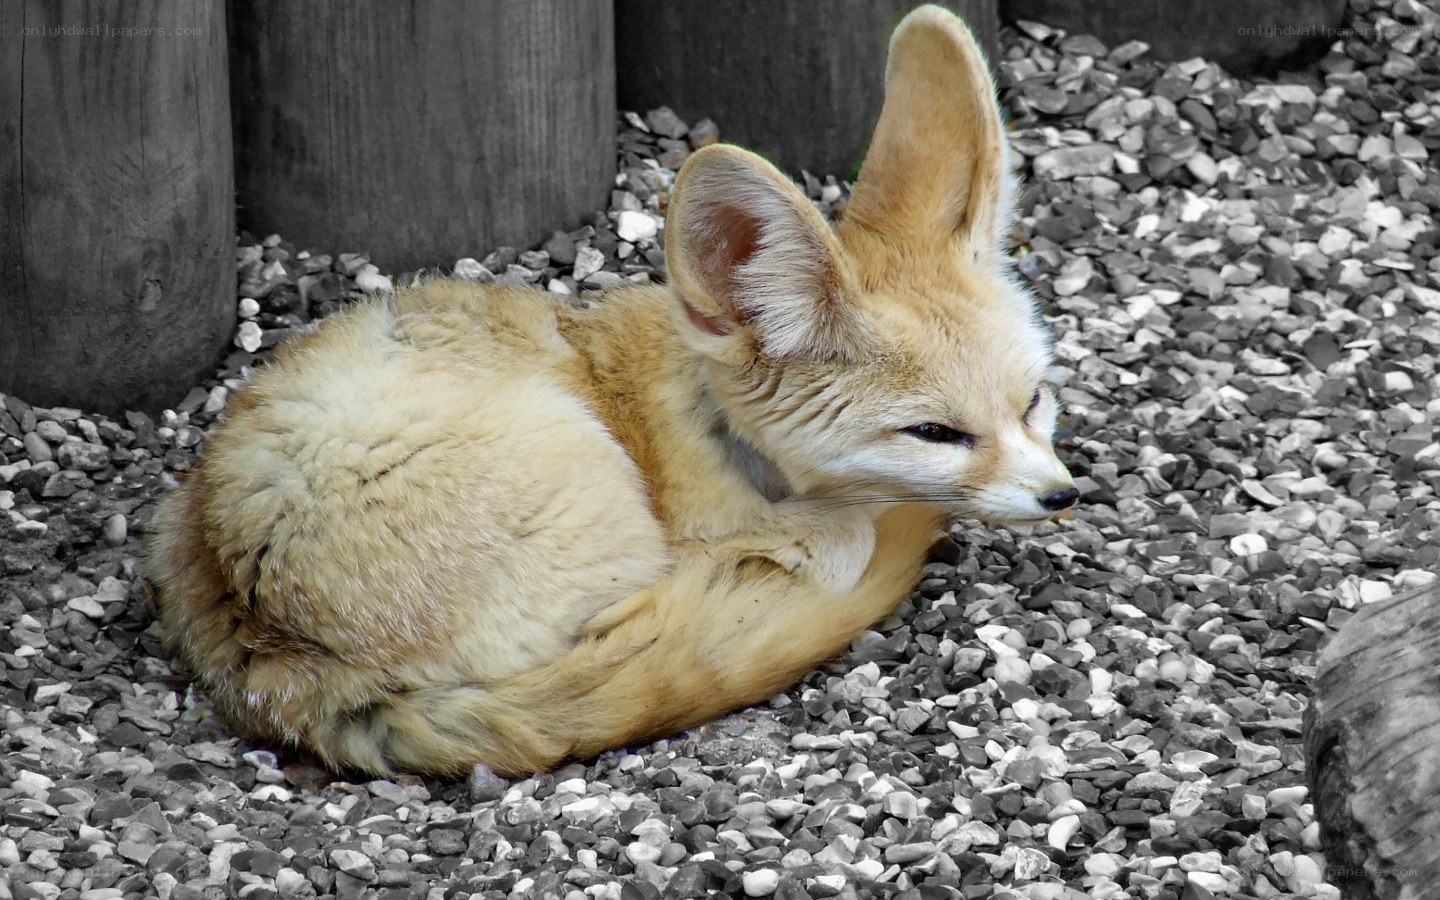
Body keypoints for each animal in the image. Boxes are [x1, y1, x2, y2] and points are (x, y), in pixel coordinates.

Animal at [147, 4, 1077, 779]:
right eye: (936, 434)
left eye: (1033, 401)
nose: (1063, 497)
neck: (709, 429)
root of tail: (266, 649)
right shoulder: (698, 538)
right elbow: (835, 540)